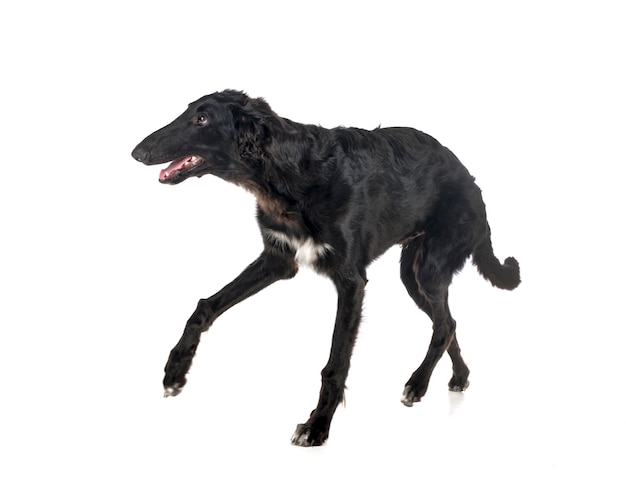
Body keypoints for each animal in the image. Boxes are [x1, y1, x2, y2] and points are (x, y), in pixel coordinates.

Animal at [130, 90, 516, 446]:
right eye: (188, 111)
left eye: (202, 119)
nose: (137, 152)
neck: (291, 174)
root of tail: (474, 184)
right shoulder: (278, 260)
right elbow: (205, 306)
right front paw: (175, 370)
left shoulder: (351, 281)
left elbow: (336, 362)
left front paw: (317, 426)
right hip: (413, 275)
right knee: (448, 323)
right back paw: (458, 376)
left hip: (431, 268)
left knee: (443, 324)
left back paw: (418, 383)